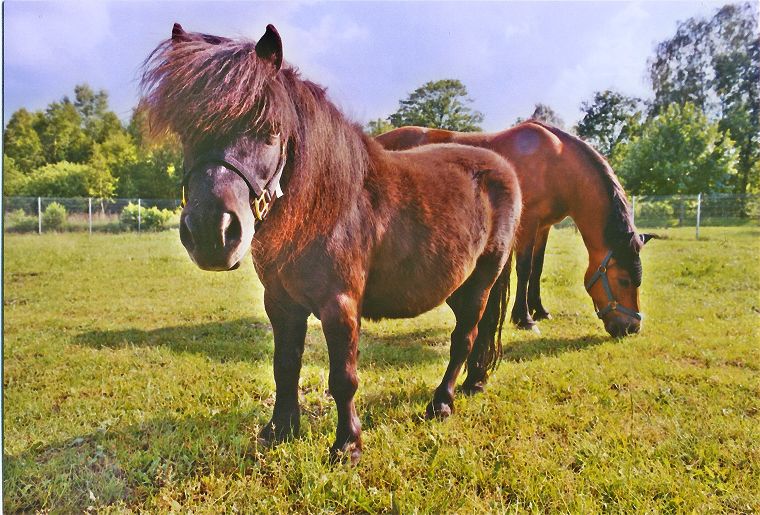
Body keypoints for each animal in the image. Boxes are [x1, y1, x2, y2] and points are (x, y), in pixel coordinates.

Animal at [140, 24, 524, 466]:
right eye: (186, 131)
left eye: (271, 128)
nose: (211, 233)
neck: (325, 209)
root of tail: (503, 169)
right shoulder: (281, 304)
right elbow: (285, 366)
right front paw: (280, 430)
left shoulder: (339, 305)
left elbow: (343, 377)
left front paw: (347, 446)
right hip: (456, 285)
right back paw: (471, 383)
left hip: (481, 281)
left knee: (464, 338)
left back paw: (441, 403)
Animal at [378, 125, 656, 338]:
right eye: (624, 280)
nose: (631, 328)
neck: (556, 163)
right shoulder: (529, 222)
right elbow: (524, 269)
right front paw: (524, 318)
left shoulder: (544, 226)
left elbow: (538, 268)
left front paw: (539, 310)